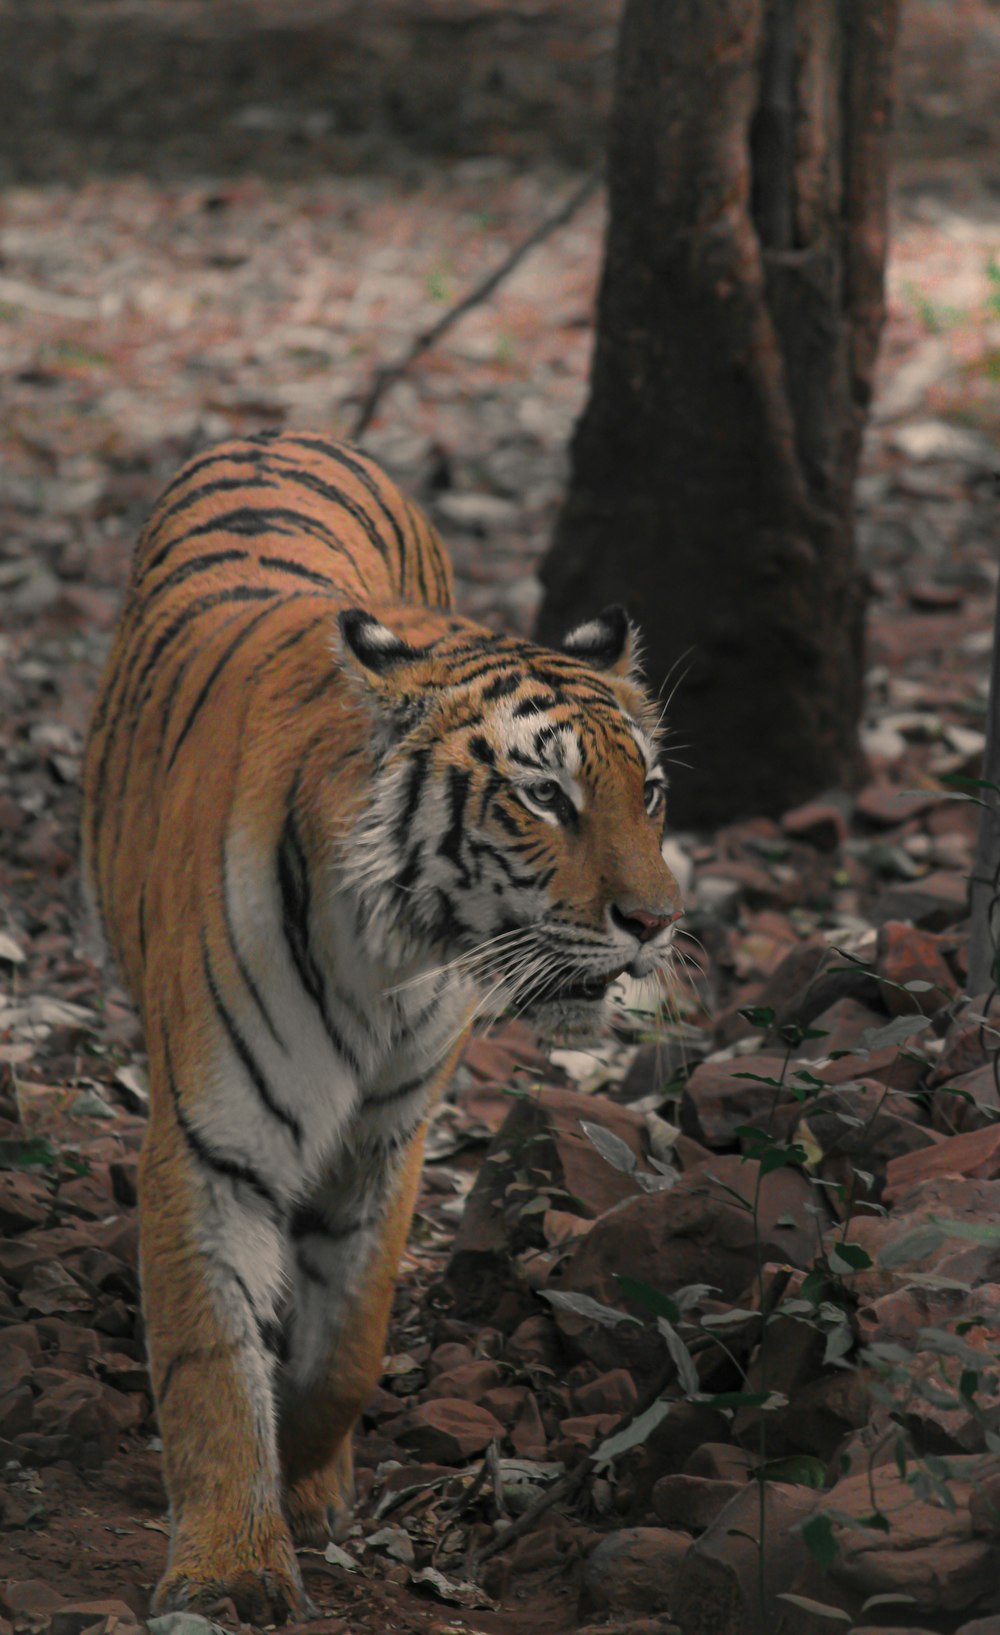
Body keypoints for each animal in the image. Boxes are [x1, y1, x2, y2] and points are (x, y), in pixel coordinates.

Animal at [82, 431, 683, 1621]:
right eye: (545, 797)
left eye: (649, 791)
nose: (655, 922)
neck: (393, 955)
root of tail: (284, 431)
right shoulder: (210, 1145)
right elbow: (210, 1365)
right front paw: (230, 1569)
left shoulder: (385, 1138)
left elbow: (349, 1344)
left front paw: (313, 1480)